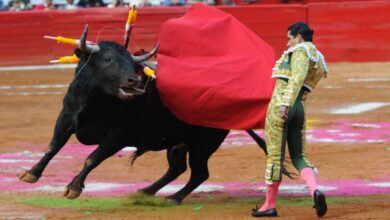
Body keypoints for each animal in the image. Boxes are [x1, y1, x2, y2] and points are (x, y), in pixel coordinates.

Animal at [19, 32, 266, 203]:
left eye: (132, 63)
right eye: (107, 59)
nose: (134, 81)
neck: (96, 100)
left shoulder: (117, 137)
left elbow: (92, 158)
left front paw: (74, 188)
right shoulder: (66, 119)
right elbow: (53, 147)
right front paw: (31, 173)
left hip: (203, 142)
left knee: (199, 173)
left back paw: (172, 198)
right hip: (178, 143)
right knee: (178, 168)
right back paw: (146, 191)